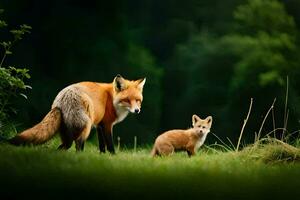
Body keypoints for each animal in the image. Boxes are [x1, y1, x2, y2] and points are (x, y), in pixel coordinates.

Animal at [7, 74, 146, 152]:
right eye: (127, 100)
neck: (111, 99)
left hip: (68, 132)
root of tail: (61, 99)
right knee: (78, 146)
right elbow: (110, 145)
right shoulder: (106, 125)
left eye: (138, 100)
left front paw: (102, 157)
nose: (137, 110)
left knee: (63, 147)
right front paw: (112, 157)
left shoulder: (99, 125)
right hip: (85, 128)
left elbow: (102, 146)